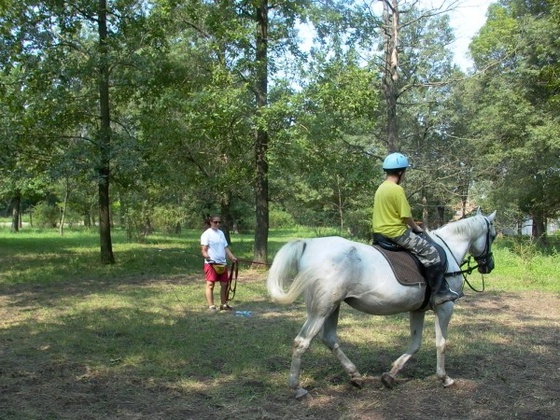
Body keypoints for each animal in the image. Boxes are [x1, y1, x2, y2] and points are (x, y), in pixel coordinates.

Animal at [270, 210, 496, 398]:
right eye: (492, 236)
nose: (489, 266)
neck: (448, 251)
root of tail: (309, 244)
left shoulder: (417, 310)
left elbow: (415, 344)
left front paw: (390, 375)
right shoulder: (445, 307)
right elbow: (441, 343)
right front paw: (444, 378)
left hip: (332, 307)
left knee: (329, 339)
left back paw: (355, 376)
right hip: (321, 310)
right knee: (301, 342)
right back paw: (297, 388)